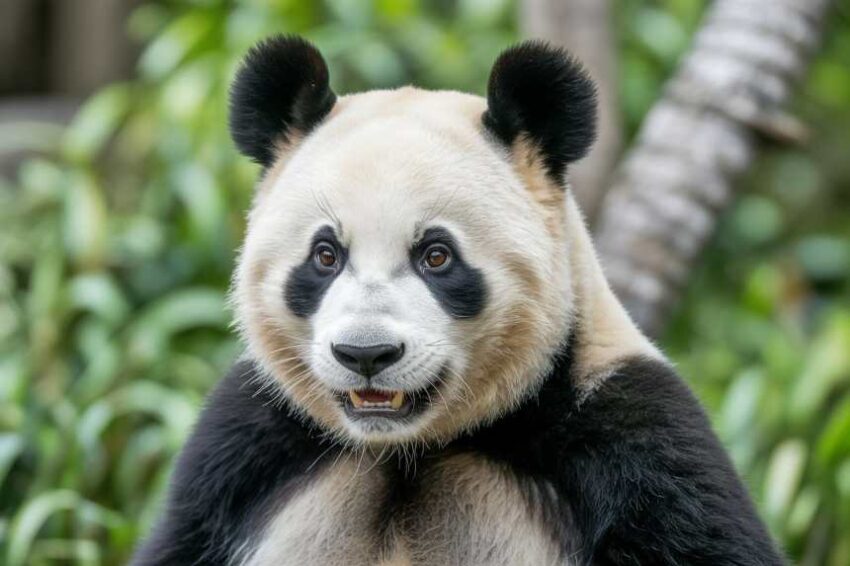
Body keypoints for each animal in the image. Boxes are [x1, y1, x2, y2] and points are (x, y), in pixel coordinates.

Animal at [132, 36, 785, 565]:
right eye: (325, 255)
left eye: (437, 256)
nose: (366, 355)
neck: (405, 451)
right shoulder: (244, 451)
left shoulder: (634, 442)